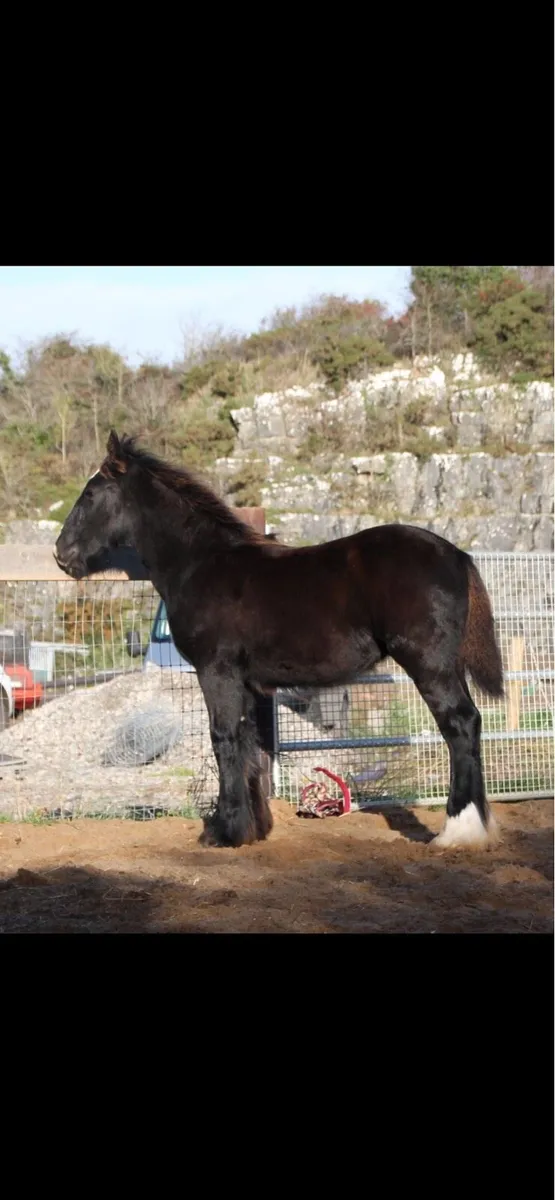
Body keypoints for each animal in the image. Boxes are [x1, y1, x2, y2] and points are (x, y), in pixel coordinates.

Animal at [55, 431, 504, 851]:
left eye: (91, 493)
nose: (61, 554)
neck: (202, 563)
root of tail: (457, 555)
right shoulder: (247, 682)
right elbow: (249, 744)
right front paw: (253, 828)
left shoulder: (216, 672)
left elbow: (223, 740)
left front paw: (225, 832)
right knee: (470, 724)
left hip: (428, 664)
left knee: (459, 724)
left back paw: (458, 830)